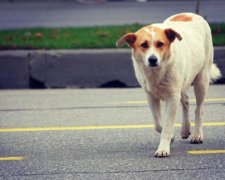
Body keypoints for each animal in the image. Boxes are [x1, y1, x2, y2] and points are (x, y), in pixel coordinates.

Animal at [117, 12, 221, 158]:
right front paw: (171, 137)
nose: (153, 59)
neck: (157, 72)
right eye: (144, 45)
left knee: (199, 108)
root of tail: (191, 13)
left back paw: (197, 135)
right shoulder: (151, 97)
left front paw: (163, 148)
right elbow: (159, 124)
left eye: (160, 44)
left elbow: (166, 126)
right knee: (186, 101)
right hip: (182, 83)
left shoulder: (172, 98)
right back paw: (185, 130)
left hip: (202, 79)